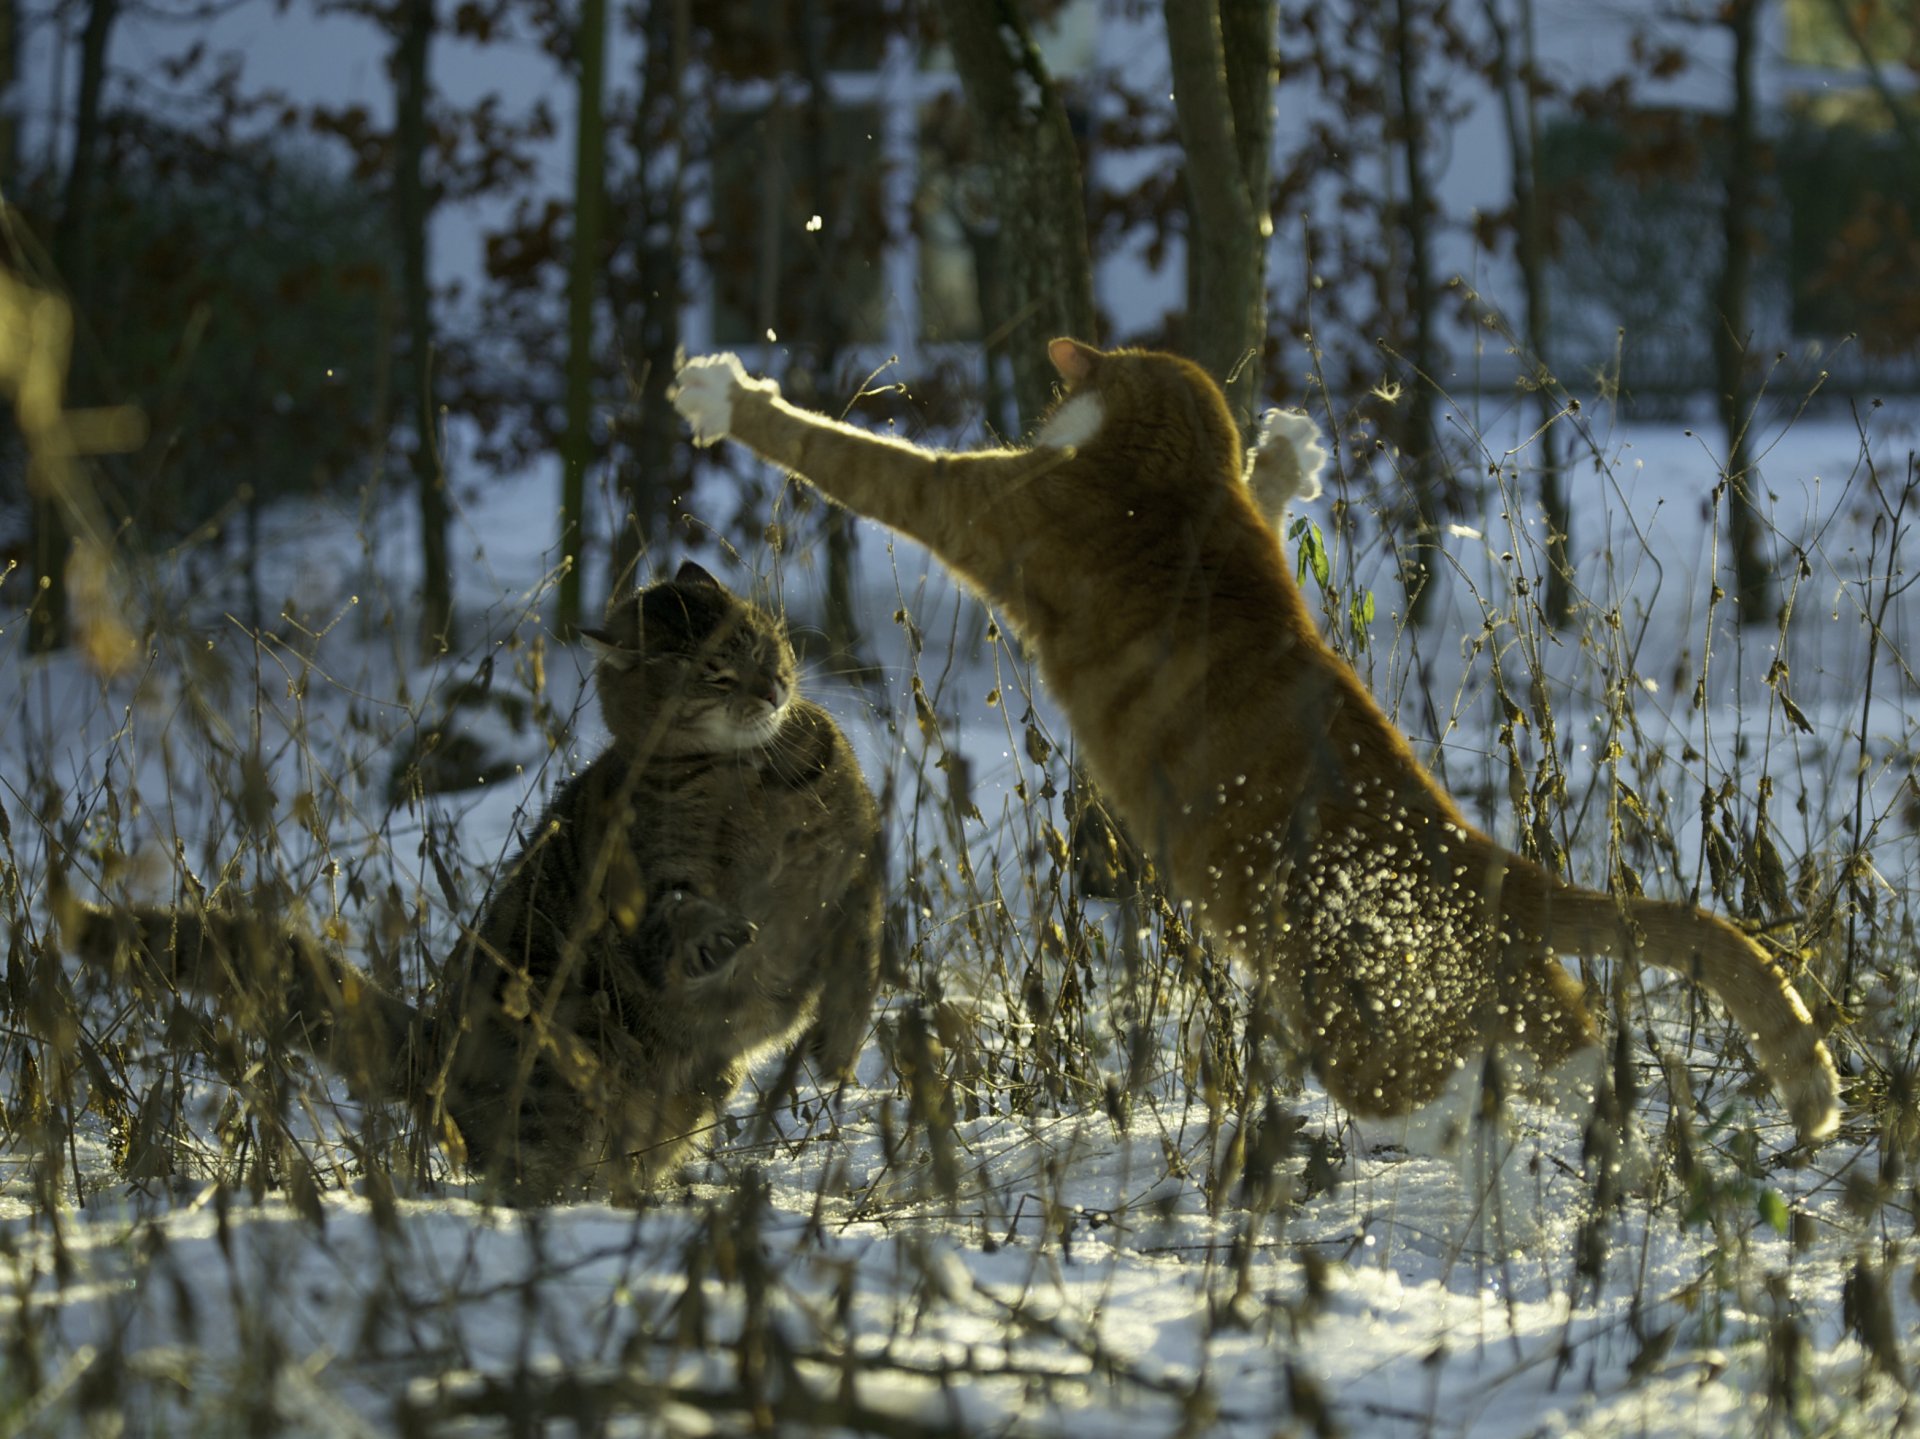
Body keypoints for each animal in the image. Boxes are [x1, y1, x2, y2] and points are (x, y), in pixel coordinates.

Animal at [74, 560, 883, 1198]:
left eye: (762, 642)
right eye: (716, 673)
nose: (774, 684)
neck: (745, 778)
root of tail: (430, 1044)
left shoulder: (858, 864)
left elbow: (861, 956)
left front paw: (839, 1044)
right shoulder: (653, 881)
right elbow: (682, 915)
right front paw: (719, 940)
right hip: (560, 1080)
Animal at [668, 340, 1835, 1145]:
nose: (1047, 404)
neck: (1175, 472)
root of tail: (1494, 863)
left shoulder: (984, 502)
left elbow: (848, 454)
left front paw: (727, 395)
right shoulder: (1243, 521)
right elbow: (1268, 490)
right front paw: (1290, 447)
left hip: (1347, 1000)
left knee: (1435, 1088)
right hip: (1504, 994)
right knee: (1583, 1056)